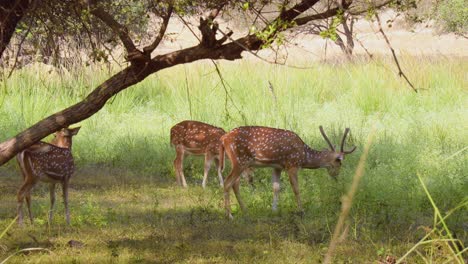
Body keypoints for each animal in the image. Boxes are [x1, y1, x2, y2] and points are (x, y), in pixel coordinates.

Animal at [219, 126, 354, 219]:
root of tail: (224, 138)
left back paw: (244, 211)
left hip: (239, 163)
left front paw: (274, 210)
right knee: (227, 182)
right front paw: (301, 211)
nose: (336, 175)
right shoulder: (292, 165)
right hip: (240, 161)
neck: (304, 156)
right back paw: (229, 215)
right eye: (339, 162)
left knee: (234, 184)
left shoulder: (277, 166)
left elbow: (276, 187)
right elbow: (296, 189)